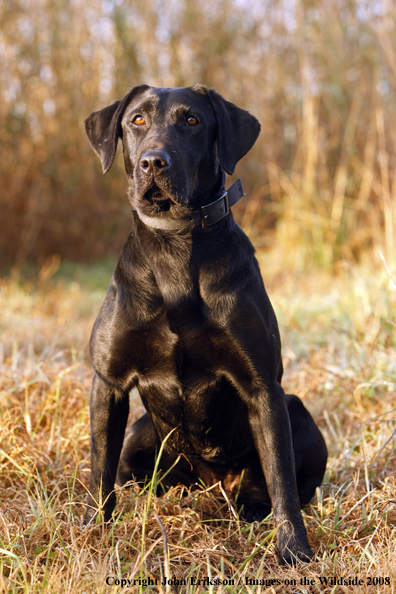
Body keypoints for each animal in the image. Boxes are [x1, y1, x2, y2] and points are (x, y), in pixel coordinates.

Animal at [83, 85, 328, 560]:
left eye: (192, 120)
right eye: (137, 120)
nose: (153, 162)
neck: (176, 243)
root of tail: (209, 486)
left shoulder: (263, 387)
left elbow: (283, 482)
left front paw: (294, 551)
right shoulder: (109, 384)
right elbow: (99, 471)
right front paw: (90, 535)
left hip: (297, 411)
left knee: (275, 483)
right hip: (141, 436)